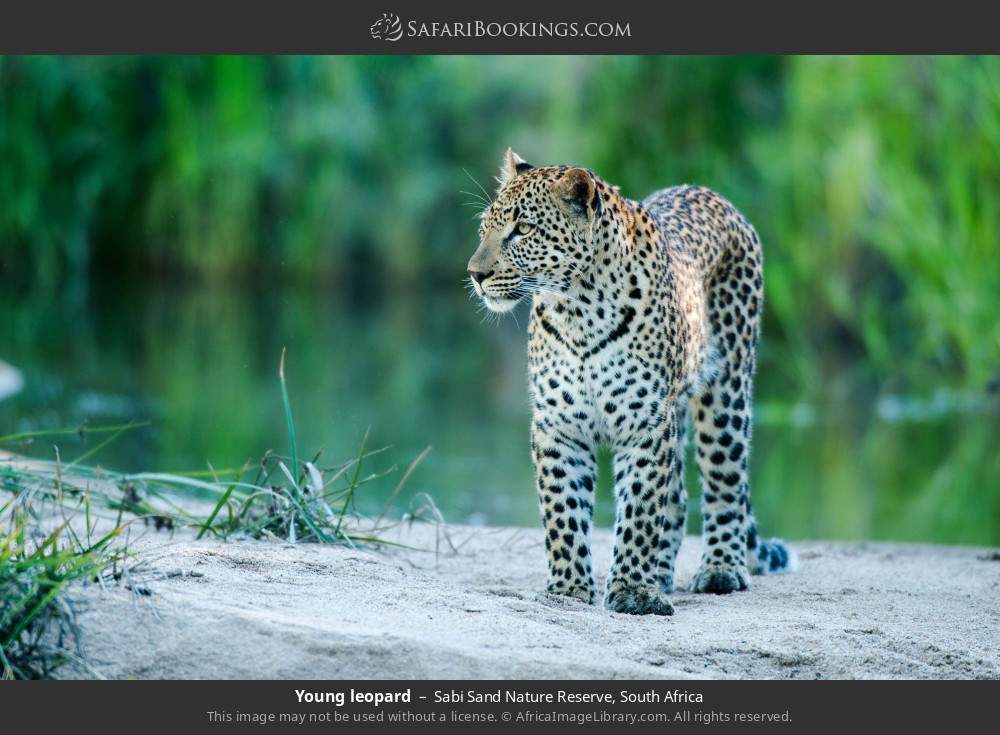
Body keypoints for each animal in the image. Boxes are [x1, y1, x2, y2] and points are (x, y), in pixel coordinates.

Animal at [467, 148, 795, 615]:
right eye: (485, 227)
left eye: (523, 229)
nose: (475, 274)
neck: (578, 310)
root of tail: (710, 193)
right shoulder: (558, 426)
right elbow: (563, 510)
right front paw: (568, 588)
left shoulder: (646, 424)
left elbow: (640, 508)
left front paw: (632, 592)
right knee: (677, 496)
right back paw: (663, 574)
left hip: (727, 391)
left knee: (725, 480)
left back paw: (721, 569)